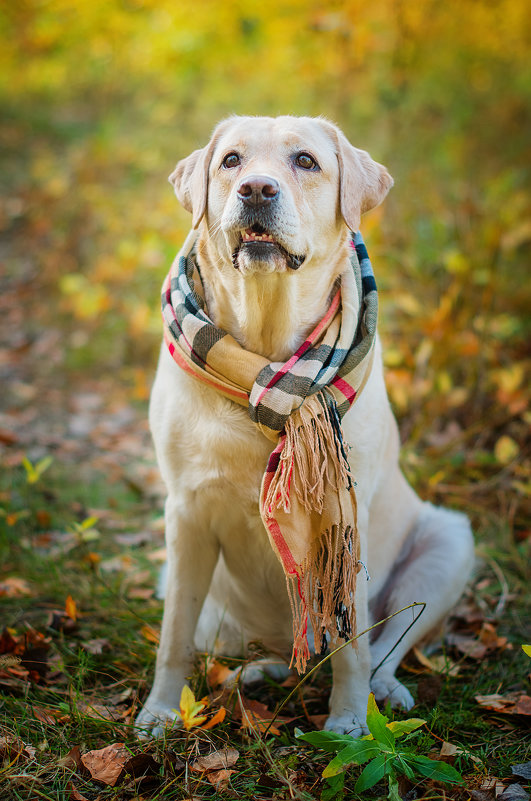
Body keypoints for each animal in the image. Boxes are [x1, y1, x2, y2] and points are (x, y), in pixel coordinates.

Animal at [136, 115, 474, 736]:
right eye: (232, 161)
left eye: (306, 161)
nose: (256, 190)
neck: (267, 360)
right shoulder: (185, 512)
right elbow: (173, 637)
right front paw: (159, 713)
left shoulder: (346, 514)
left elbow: (355, 644)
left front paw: (349, 725)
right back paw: (260, 671)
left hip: (449, 543)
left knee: (386, 643)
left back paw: (383, 693)